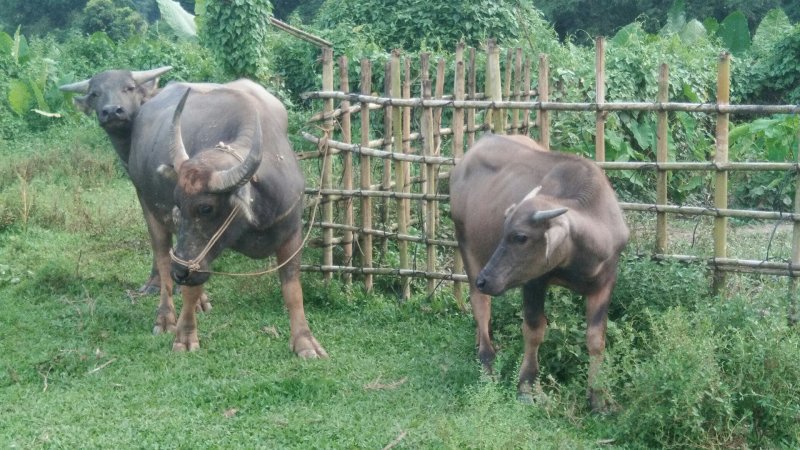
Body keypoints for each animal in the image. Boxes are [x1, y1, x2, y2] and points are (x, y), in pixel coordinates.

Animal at [61, 71, 326, 358]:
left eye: (205, 208)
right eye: (178, 204)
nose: (180, 272)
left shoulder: (292, 233)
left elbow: (293, 290)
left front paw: (305, 342)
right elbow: (189, 287)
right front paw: (185, 336)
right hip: (149, 208)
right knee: (162, 259)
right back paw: (165, 317)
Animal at [450, 134, 624, 412]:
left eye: (520, 236)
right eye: (504, 230)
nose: (485, 280)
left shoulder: (605, 281)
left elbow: (597, 338)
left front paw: (598, 396)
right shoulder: (533, 282)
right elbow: (534, 331)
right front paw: (527, 387)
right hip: (466, 243)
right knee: (480, 303)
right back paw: (487, 360)